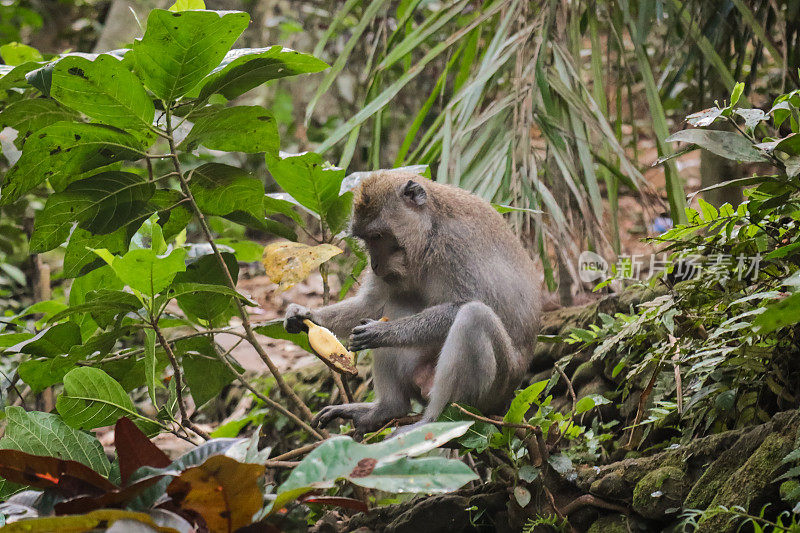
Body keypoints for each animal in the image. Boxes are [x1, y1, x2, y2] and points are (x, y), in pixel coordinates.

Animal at [284, 172, 540, 434]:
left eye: (378, 236)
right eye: (366, 239)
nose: (374, 264)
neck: (429, 232)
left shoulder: (456, 243)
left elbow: (469, 302)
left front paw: (382, 332)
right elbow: (371, 303)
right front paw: (305, 315)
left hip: (496, 389)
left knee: (474, 316)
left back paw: (434, 421)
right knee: (397, 300)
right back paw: (387, 409)